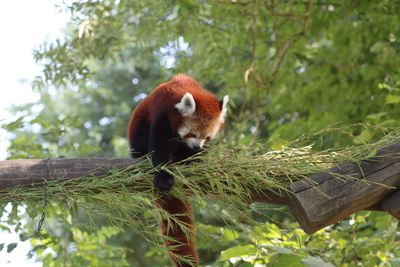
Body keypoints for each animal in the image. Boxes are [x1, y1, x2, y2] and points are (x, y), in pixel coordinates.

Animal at [128, 75, 228, 267]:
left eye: (207, 137)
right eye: (192, 134)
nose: (196, 147)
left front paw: (195, 158)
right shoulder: (162, 114)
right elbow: (160, 148)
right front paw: (163, 177)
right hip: (138, 135)